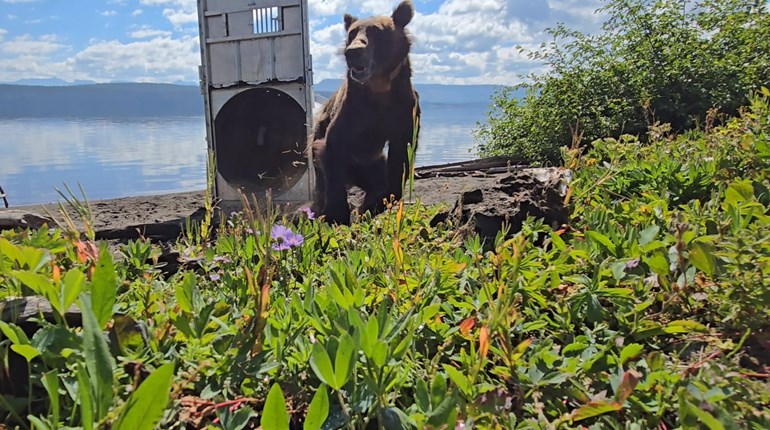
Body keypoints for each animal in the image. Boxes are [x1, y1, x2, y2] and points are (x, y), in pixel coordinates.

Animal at [309, 0, 421, 225]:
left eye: (376, 31)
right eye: (352, 32)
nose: (353, 52)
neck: (379, 89)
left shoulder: (403, 112)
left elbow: (400, 161)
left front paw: (372, 205)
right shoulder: (352, 114)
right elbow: (334, 150)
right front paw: (337, 214)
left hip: (371, 164)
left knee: (377, 178)